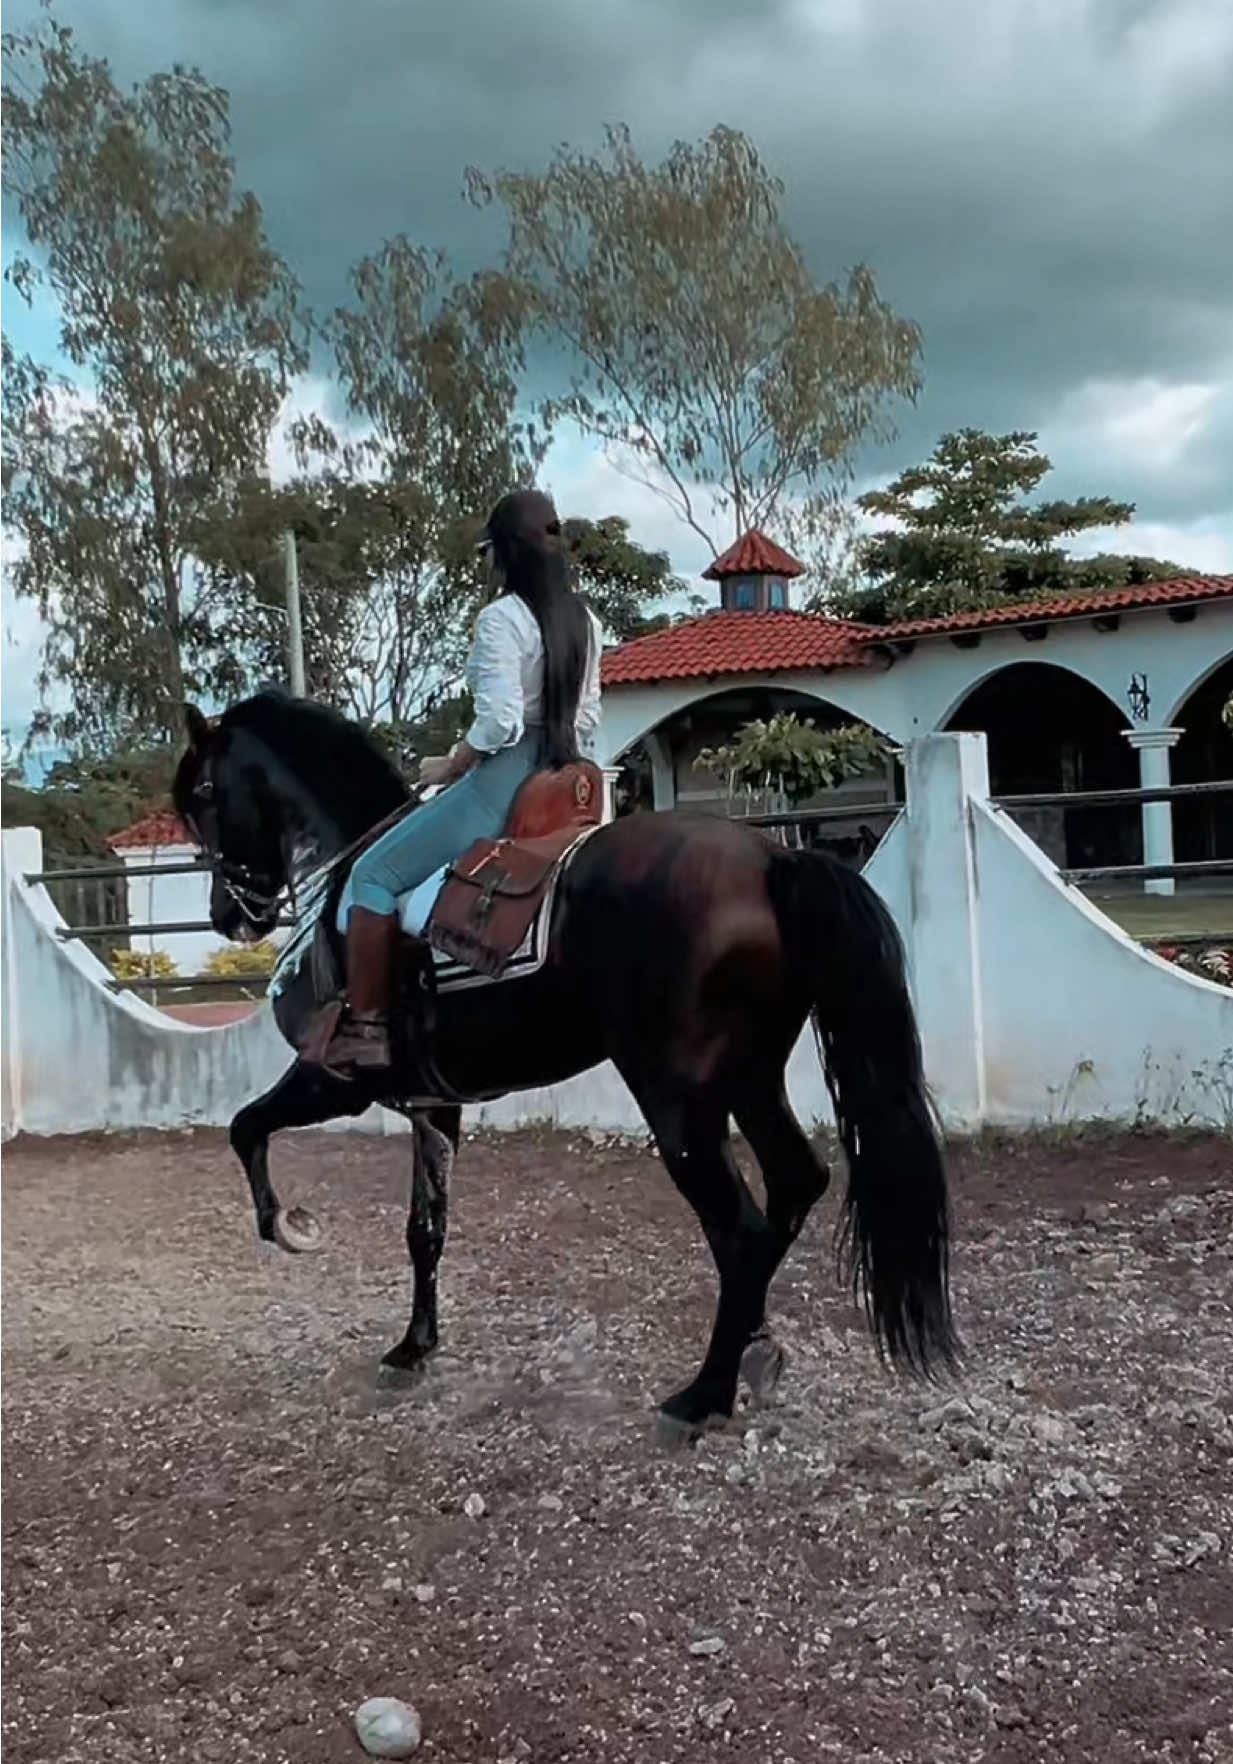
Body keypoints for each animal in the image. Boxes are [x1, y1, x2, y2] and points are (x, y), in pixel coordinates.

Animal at [172, 690, 958, 1435]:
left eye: (205, 793)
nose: (228, 915)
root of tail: (770, 859)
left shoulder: (333, 1081)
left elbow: (245, 1127)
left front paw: (288, 1227)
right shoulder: (434, 1106)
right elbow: (424, 1230)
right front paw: (412, 1347)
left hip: (678, 1100)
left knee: (740, 1232)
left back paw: (702, 1395)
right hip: (749, 1078)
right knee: (795, 1184)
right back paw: (754, 1352)